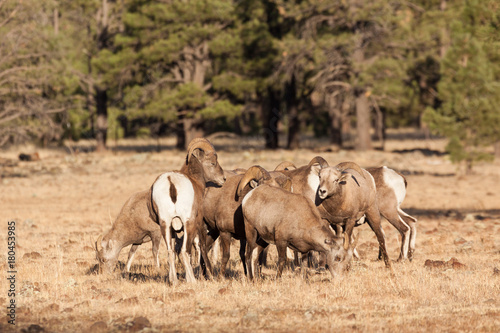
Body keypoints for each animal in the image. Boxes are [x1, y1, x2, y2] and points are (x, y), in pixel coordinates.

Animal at [147, 137, 224, 282]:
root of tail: (171, 182)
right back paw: (192, 281)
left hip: (165, 224)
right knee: (184, 251)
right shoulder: (198, 224)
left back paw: (174, 281)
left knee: (170, 251)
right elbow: (200, 247)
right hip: (188, 223)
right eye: (212, 163)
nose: (223, 179)